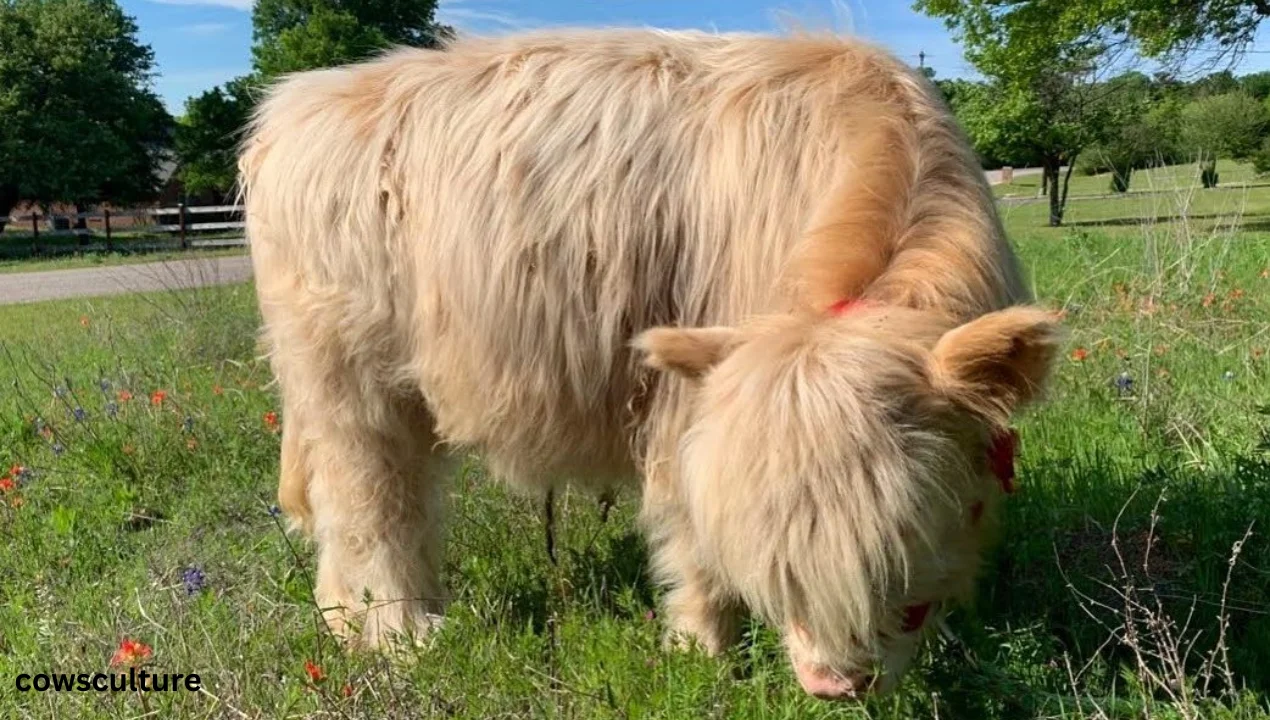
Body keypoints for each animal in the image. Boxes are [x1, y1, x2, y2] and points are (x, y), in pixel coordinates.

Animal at [238, 28, 1061, 700]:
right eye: (781, 571)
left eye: (899, 545)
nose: (835, 685)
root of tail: (293, 105)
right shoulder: (686, 402)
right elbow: (691, 536)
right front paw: (702, 654)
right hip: (348, 383)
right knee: (371, 507)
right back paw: (404, 637)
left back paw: (351, 625)